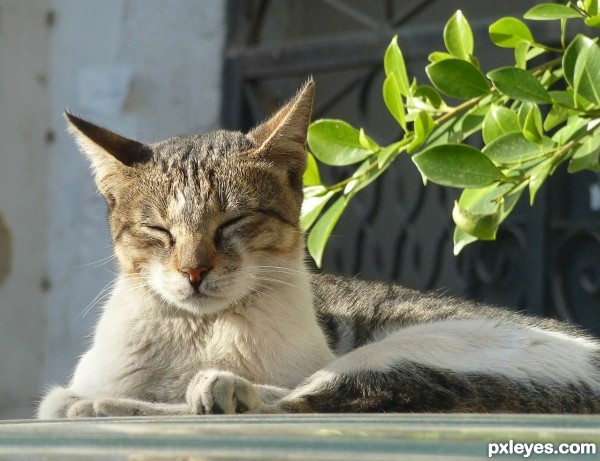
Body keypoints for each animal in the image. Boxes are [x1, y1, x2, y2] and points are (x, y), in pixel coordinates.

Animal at [37, 79, 600, 416]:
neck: (203, 333)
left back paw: (202, 392)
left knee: (291, 401)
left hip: (408, 351)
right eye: (159, 231)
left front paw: (101, 402)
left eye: (233, 222)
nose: (194, 272)